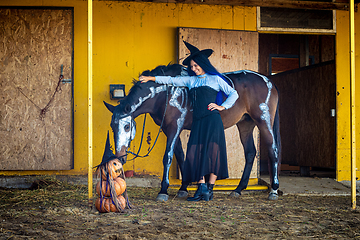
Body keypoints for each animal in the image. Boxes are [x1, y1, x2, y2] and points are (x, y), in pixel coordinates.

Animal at [104, 63, 282, 201]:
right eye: (112, 126)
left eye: (127, 127)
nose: (119, 158)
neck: (168, 92)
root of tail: (268, 80)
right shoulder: (169, 129)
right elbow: (181, 156)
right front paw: (183, 188)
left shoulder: (174, 127)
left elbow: (168, 157)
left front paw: (163, 190)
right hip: (245, 124)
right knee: (250, 153)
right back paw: (238, 190)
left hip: (263, 120)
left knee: (273, 150)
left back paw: (273, 190)